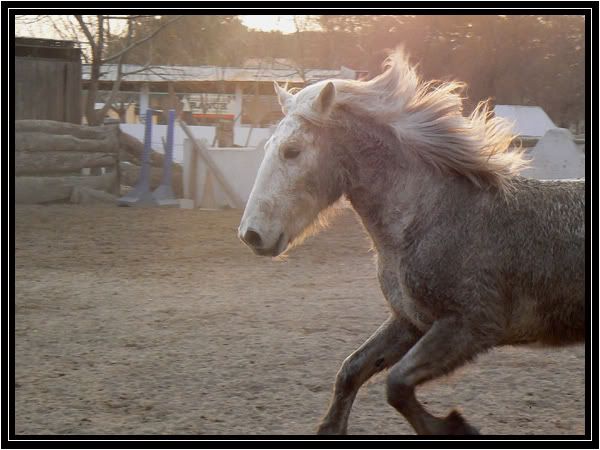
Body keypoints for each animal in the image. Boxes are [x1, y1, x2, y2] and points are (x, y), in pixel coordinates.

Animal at [237, 50, 584, 436]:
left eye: (292, 151)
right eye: (269, 146)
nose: (252, 234)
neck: (428, 218)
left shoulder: (467, 327)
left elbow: (397, 384)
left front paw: (456, 427)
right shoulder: (409, 320)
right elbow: (351, 371)